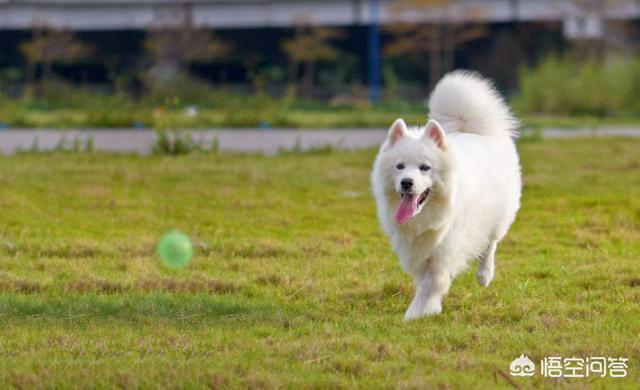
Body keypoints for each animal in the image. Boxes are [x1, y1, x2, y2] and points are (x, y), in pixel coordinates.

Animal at [370, 71, 520, 322]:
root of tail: (470, 129)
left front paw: (416, 313)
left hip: (498, 217)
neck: (428, 214)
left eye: (424, 168)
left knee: (491, 242)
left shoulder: (446, 247)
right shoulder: (416, 247)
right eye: (399, 166)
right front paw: (428, 307)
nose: (406, 183)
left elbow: (433, 281)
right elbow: (424, 280)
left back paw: (484, 274)